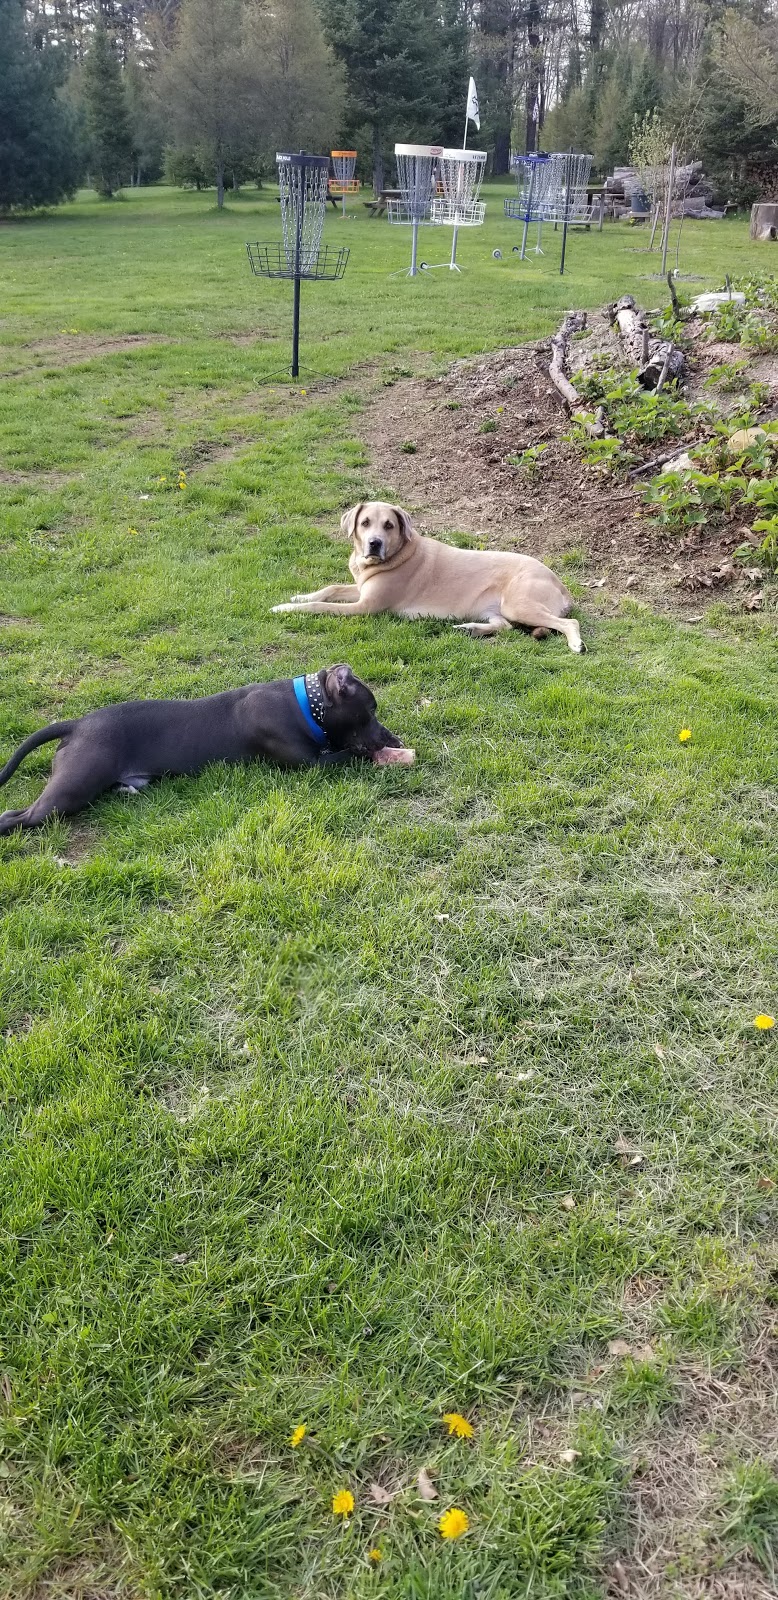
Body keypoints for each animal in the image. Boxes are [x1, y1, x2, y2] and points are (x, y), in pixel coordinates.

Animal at [0, 665, 413, 835]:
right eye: (370, 709)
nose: (389, 737)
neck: (305, 705)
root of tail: (77, 724)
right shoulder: (312, 765)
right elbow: (349, 754)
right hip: (73, 787)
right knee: (18, 816)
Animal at [272, 501, 585, 653]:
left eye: (389, 525)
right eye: (365, 523)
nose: (374, 543)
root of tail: (561, 585)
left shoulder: (366, 607)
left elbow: (320, 606)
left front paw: (285, 607)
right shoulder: (360, 590)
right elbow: (330, 588)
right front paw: (299, 596)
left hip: (519, 604)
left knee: (569, 622)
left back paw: (575, 644)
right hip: (495, 609)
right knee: (504, 626)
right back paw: (470, 629)